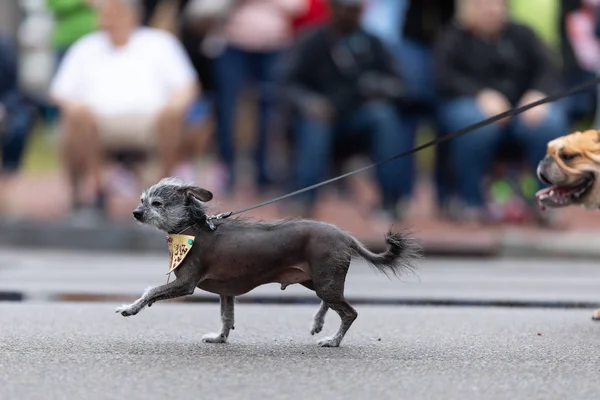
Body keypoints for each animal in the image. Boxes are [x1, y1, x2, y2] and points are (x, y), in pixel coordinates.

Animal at [115, 178, 420, 346]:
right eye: (142, 200)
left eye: (157, 203)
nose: (136, 213)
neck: (192, 228)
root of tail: (345, 234)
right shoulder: (226, 292)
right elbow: (227, 317)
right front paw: (220, 338)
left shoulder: (185, 284)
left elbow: (151, 291)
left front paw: (130, 308)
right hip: (317, 280)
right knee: (330, 302)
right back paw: (318, 322)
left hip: (324, 280)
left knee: (349, 313)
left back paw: (333, 341)